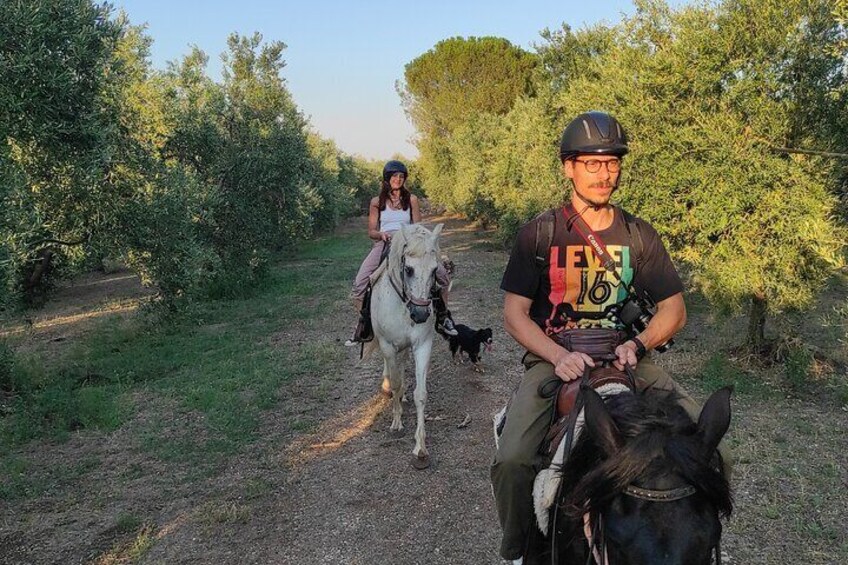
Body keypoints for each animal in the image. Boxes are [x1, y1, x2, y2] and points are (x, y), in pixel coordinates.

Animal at [370, 223, 444, 470]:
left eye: (434, 270)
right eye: (409, 269)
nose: (420, 314)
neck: (404, 304)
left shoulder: (423, 345)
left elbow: (420, 394)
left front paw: (420, 449)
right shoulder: (388, 345)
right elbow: (394, 382)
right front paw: (396, 424)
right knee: (391, 372)